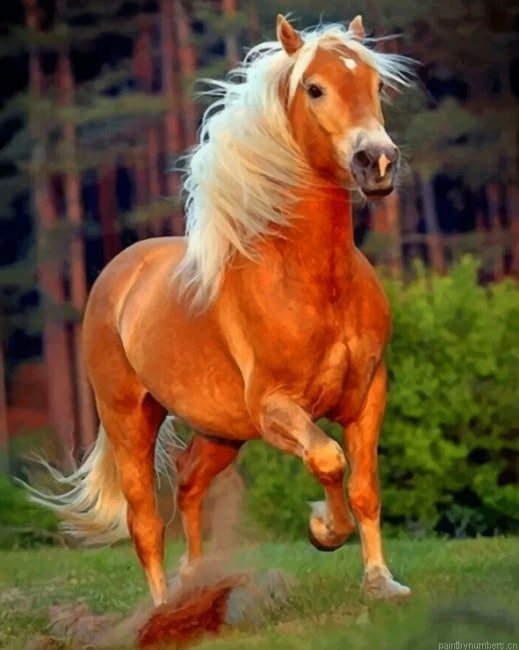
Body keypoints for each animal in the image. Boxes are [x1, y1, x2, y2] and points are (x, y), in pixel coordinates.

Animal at [29, 14, 415, 607]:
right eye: (314, 88)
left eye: (376, 86)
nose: (377, 162)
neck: (312, 284)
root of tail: (118, 273)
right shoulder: (276, 409)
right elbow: (328, 460)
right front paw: (322, 530)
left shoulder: (368, 394)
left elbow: (365, 487)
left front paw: (380, 582)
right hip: (128, 418)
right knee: (146, 522)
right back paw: (162, 609)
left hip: (220, 432)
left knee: (189, 481)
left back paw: (194, 582)